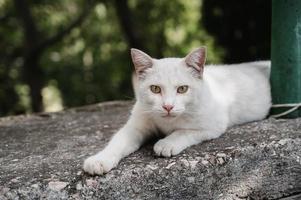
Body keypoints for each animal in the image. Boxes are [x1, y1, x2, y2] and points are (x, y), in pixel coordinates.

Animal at [82, 47, 270, 175]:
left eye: (182, 89)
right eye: (155, 89)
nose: (168, 106)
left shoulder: (212, 125)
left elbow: (183, 131)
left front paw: (166, 143)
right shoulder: (135, 127)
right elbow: (118, 142)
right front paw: (100, 160)